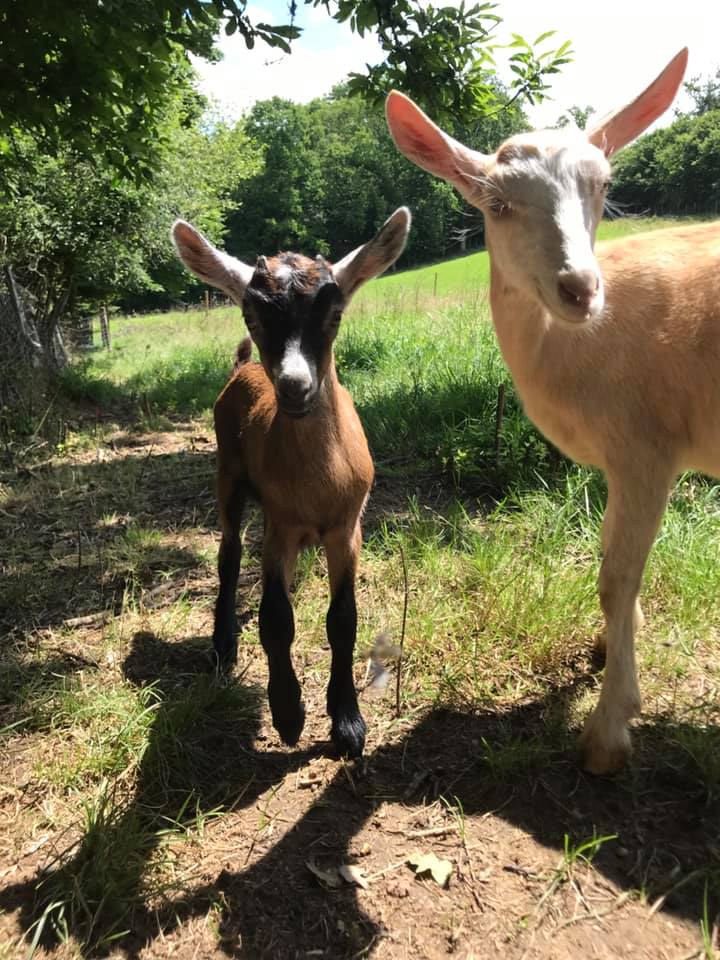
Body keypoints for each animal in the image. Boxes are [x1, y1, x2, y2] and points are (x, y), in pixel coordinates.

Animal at [386, 48, 720, 776]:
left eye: (603, 183)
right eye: (496, 201)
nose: (580, 289)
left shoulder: (647, 446)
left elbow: (616, 578)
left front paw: (607, 732)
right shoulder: (626, 460)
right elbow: (610, 562)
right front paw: (607, 652)